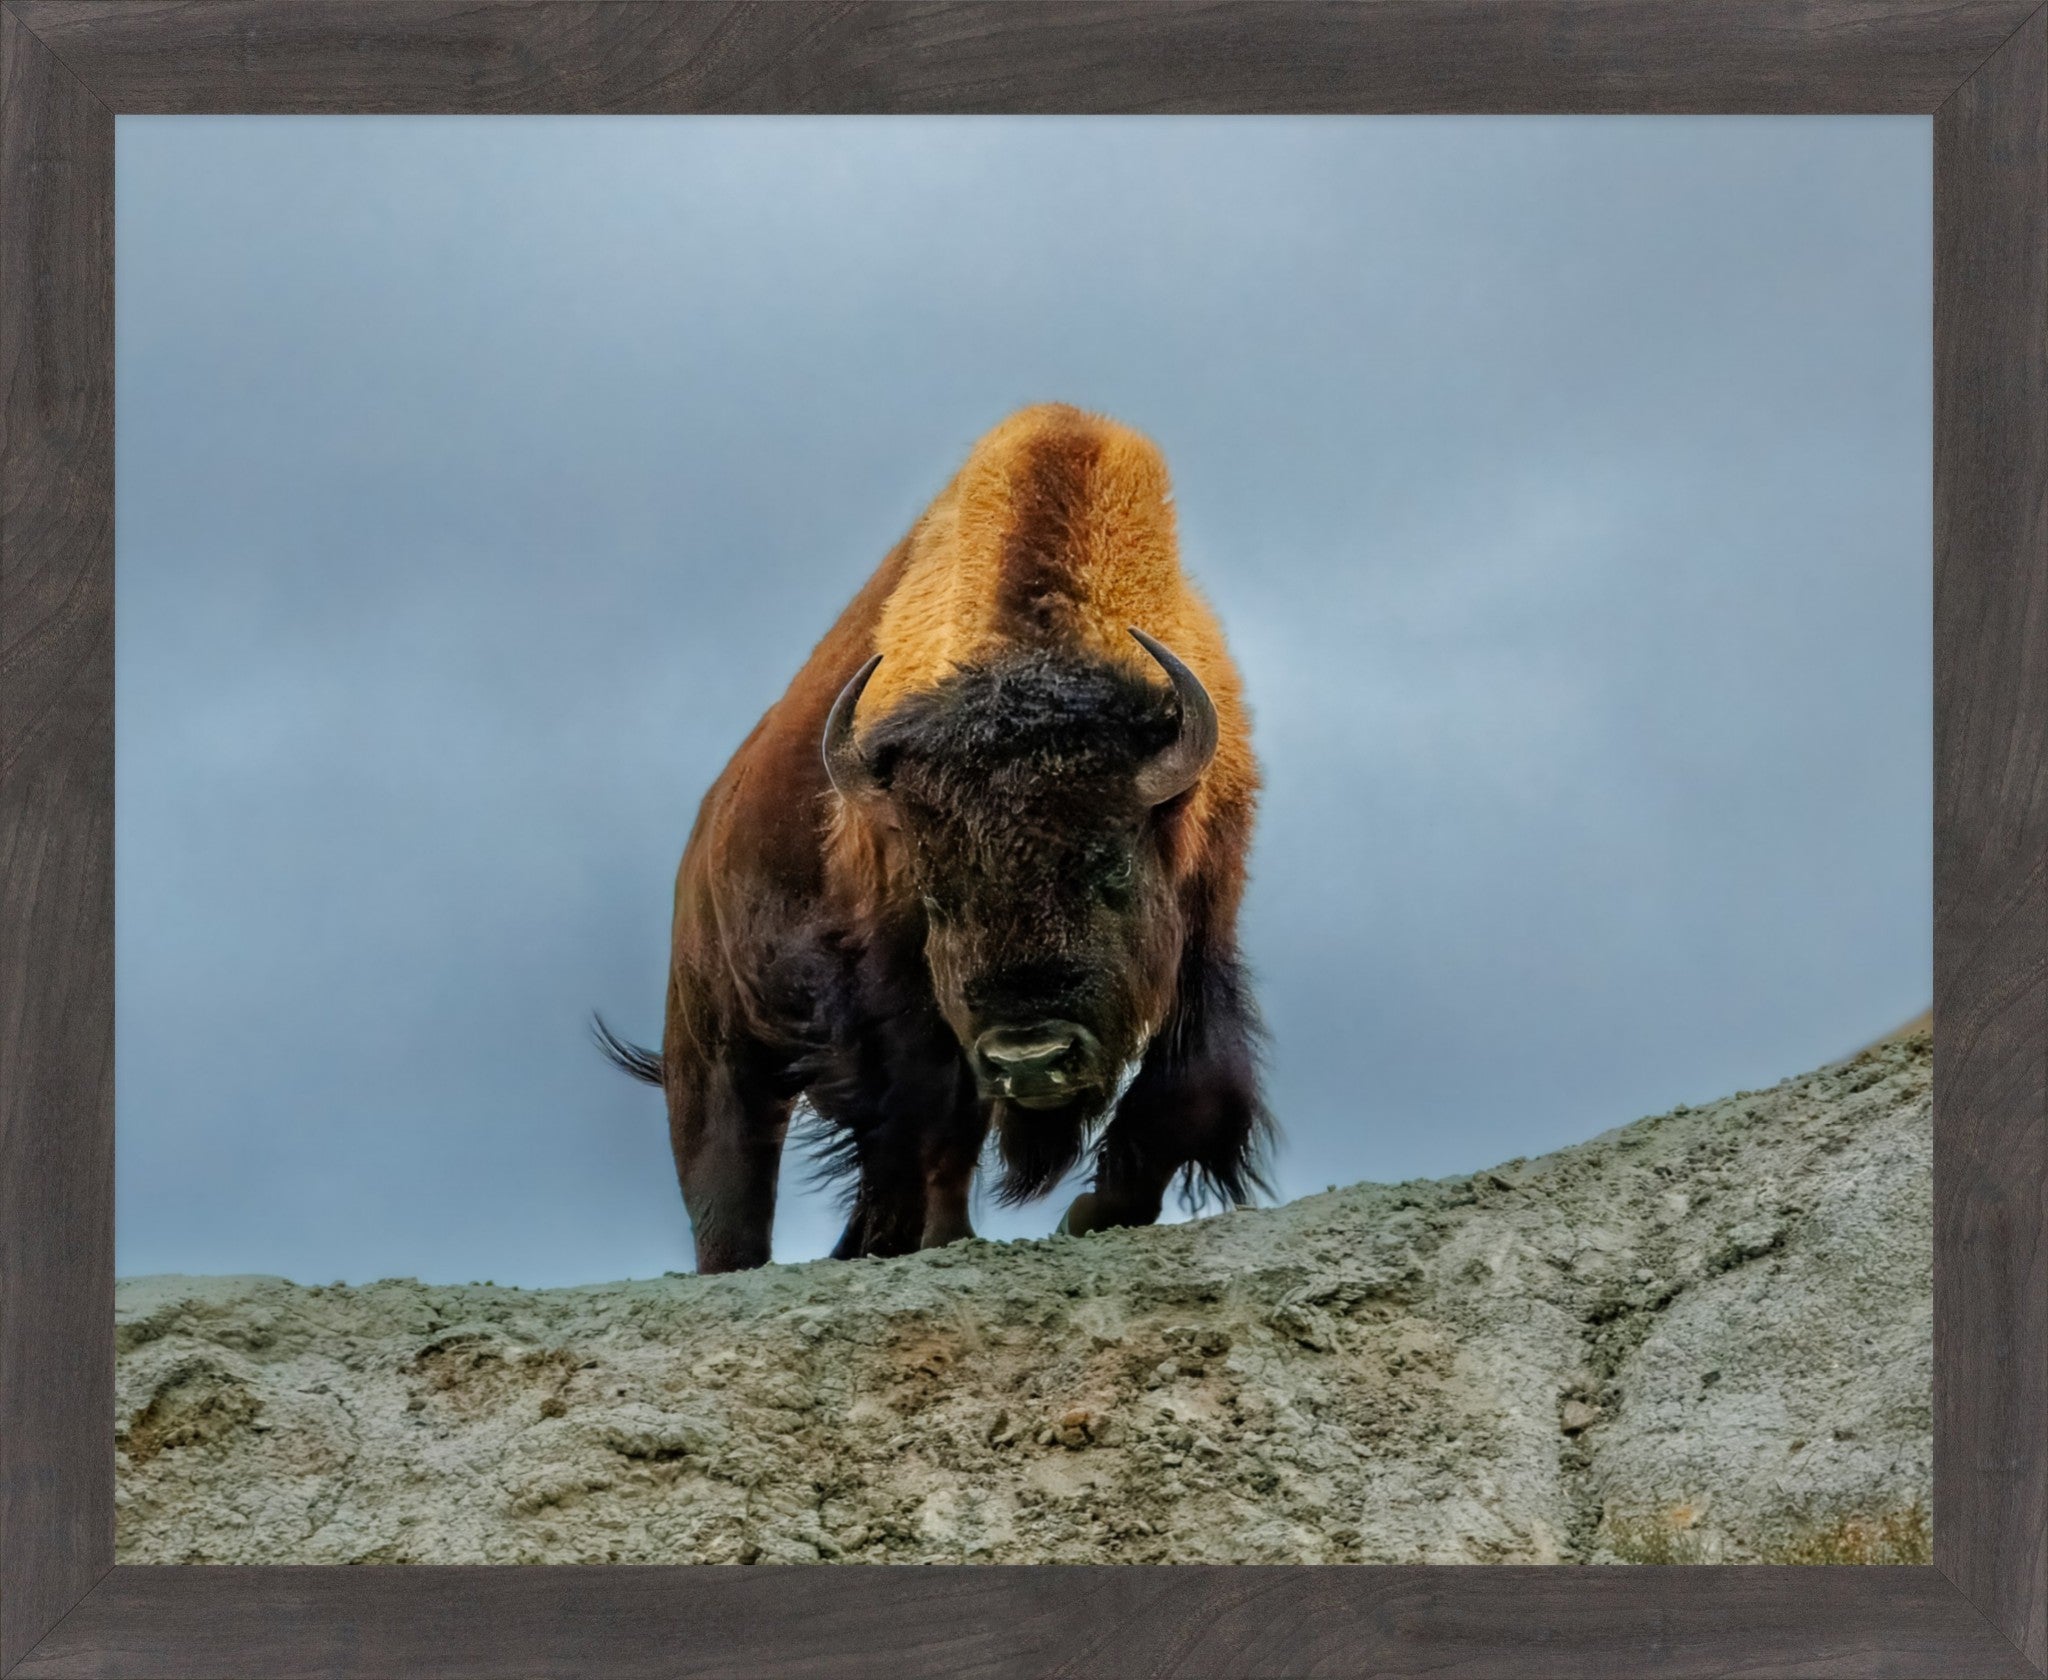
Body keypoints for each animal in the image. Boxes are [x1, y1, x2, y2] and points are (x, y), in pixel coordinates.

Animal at [598, 404, 1272, 1272]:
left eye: (1110, 875)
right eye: (938, 898)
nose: (1031, 1059)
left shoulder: (1206, 915)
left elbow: (1196, 1086)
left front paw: (1094, 1211)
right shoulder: (894, 982)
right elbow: (930, 1117)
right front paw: (937, 1235)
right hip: (713, 1047)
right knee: (732, 1187)